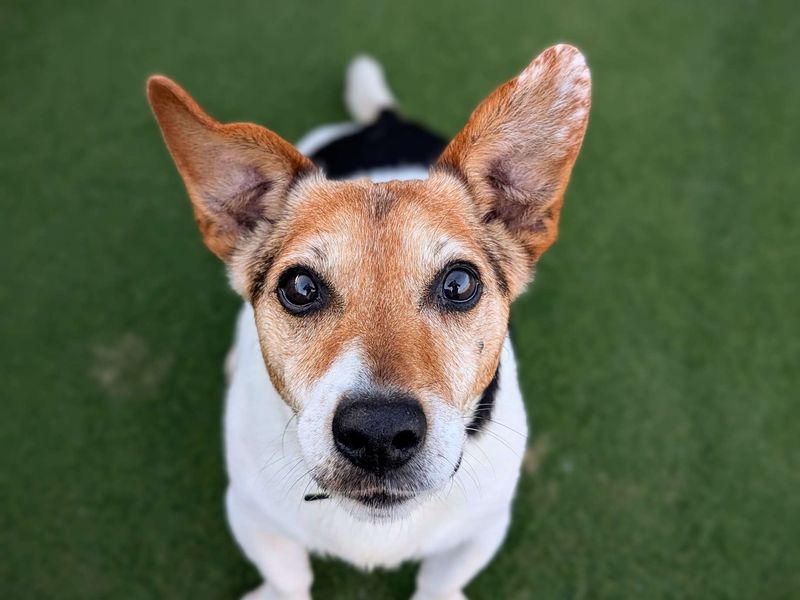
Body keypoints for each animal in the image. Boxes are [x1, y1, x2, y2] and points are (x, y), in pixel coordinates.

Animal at [148, 43, 588, 600]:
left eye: (460, 284)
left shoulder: (483, 529)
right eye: (300, 288)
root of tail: (383, 121)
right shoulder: (250, 514)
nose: (379, 432)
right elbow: (289, 577)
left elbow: (439, 582)